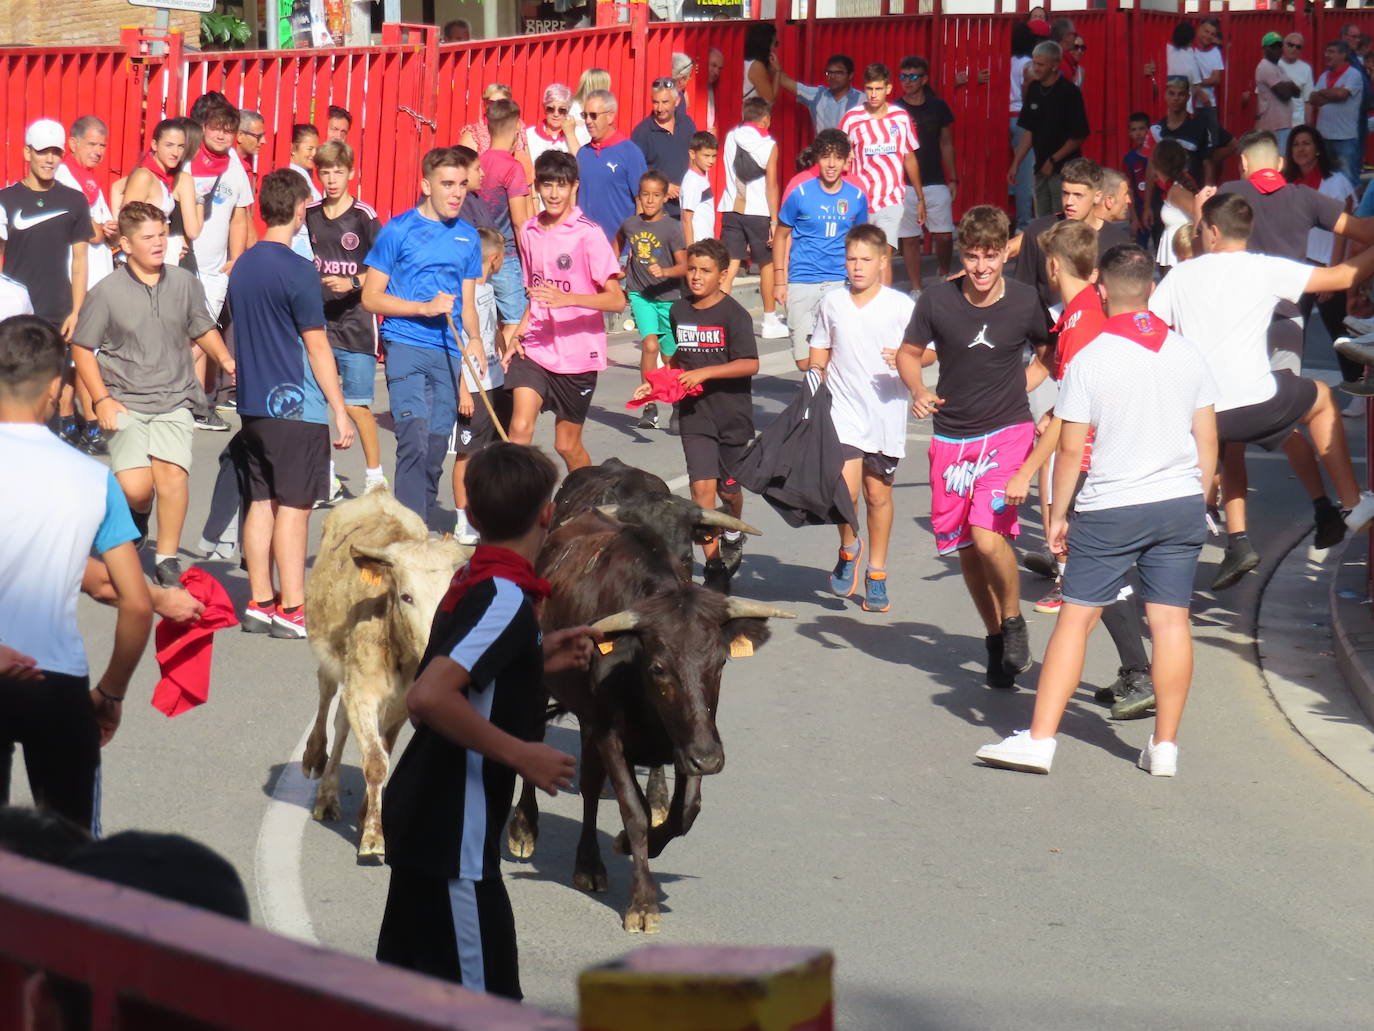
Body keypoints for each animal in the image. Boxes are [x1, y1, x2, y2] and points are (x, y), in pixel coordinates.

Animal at [300, 489, 472, 857]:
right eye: (407, 596)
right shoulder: (362, 693)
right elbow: (376, 761)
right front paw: (373, 838)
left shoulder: (400, 705)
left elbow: (384, 751)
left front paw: (367, 815)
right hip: (331, 660)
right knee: (327, 700)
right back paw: (317, 764)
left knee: (344, 723)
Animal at [505, 511, 791, 934]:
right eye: (658, 667)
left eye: (721, 662)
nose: (710, 760)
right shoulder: (611, 735)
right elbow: (635, 810)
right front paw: (642, 903)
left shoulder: (688, 739)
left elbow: (685, 811)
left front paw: (631, 844)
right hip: (544, 688)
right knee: (536, 742)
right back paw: (524, 830)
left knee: (591, 787)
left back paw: (588, 865)